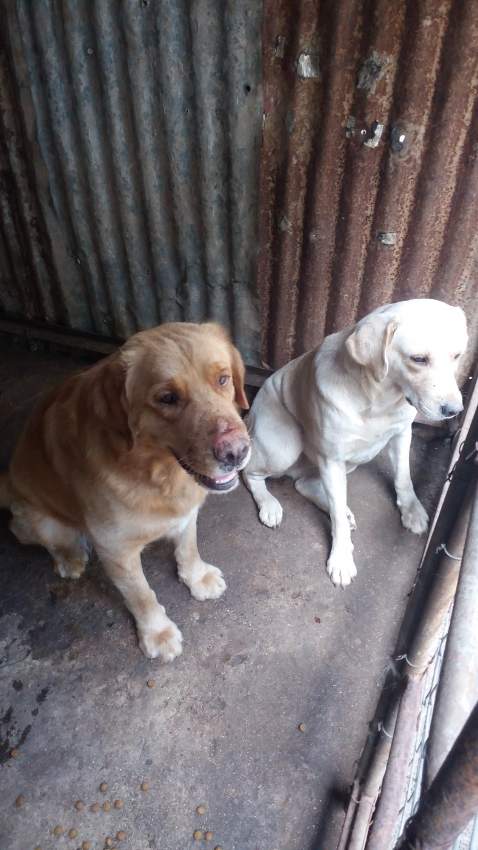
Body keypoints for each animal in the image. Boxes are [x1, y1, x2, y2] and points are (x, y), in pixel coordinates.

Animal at [0, 322, 250, 660]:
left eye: (222, 378)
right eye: (167, 397)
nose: (236, 452)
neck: (157, 472)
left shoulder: (186, 514)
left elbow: (188, 546)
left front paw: (197, 576)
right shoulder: (115, 549)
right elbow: (140, 595)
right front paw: (156, 633)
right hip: (42, 522)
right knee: (30, 533)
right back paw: (70, 557)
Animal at [243, 302, 466, 588]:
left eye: (457, 356)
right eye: (418, 359)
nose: (454, 411)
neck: (378, 399)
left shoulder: (402, 434)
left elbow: (403, 477)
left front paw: (412, 510)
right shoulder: (332, 459)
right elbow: (336, 517)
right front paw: (341, 559)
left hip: (351, 461)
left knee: (303, 484)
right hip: (284, 448)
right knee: (250, 473)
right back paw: (269, 504)